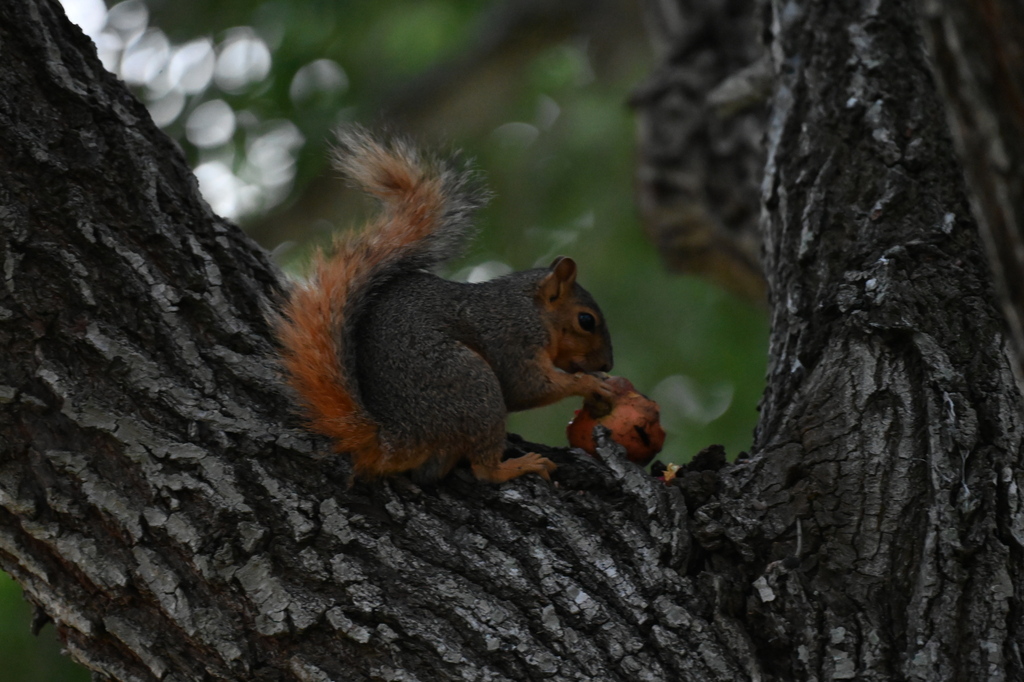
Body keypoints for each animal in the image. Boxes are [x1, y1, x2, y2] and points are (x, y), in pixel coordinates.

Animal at [275, 127, 614, 483]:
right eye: (586, 321)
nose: (607, 365)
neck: (530, 309)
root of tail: (398, 438)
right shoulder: (512, 338)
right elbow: (526, 387)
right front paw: (590, 383)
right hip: (473, 386)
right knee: (484, 469)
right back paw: (516, 466)